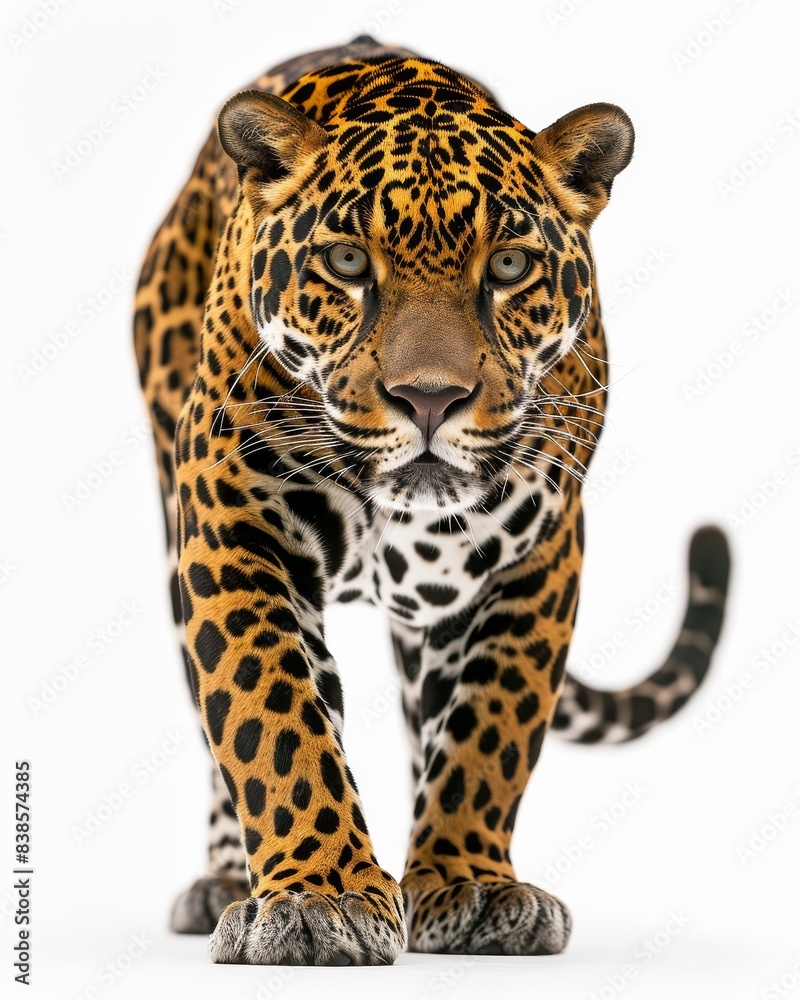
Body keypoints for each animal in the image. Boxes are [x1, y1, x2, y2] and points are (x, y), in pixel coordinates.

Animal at [133, 35, 730, 966]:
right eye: (347, 262)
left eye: (510, 266)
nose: (428, 399)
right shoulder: (235, 535)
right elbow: (273, 716)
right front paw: (319, 898)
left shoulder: (537, 555)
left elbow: (490, 729)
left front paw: (470, 884)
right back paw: (228, 882)